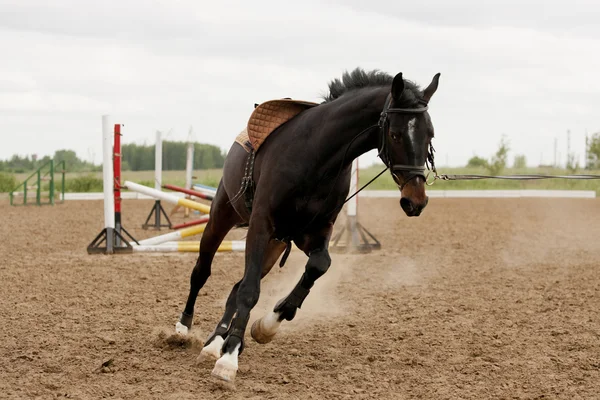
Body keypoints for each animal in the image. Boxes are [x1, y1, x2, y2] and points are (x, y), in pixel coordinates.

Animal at [173, 67, 440, 382]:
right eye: (396, 134)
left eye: (430, 134)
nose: (416, 200)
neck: (316, 156)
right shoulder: (260, 226)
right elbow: (250, 291)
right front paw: (229, 358)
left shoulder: (315, 232)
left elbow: (317, 266)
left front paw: (267, 325)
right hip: (221, 218)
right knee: (202, 272)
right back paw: (184, 330)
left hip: (274, 246)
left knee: (235, 288)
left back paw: (216, 342)